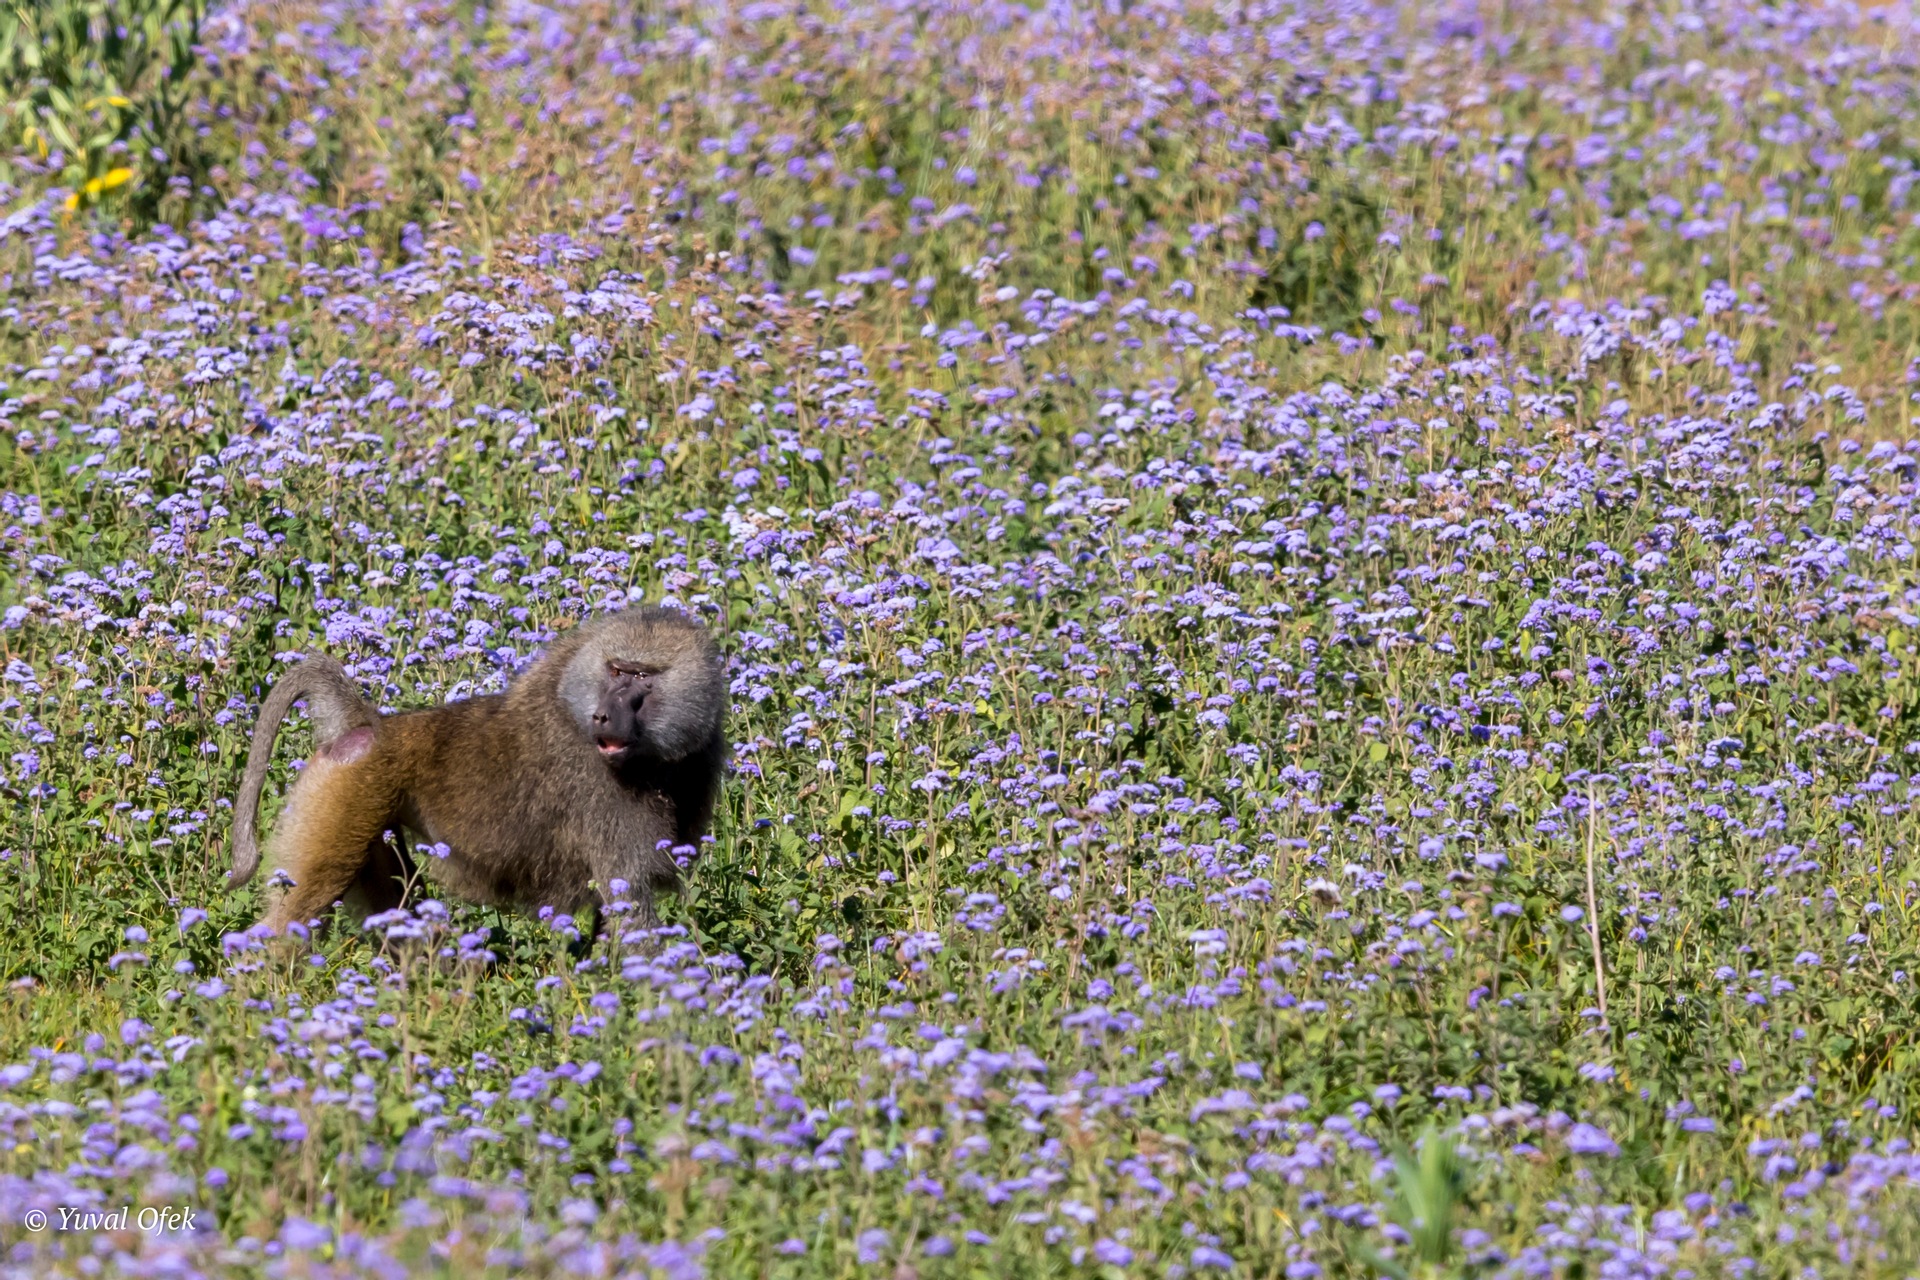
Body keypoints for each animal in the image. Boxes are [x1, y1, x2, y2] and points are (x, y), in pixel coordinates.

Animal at [229, 605, 727, 937]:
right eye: (616, 670)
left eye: (643, 677)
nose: (603, 716)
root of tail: (369, 727)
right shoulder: (600, 795)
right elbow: (631, 909)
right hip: (346, 799)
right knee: (300, 910)